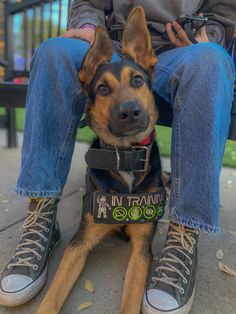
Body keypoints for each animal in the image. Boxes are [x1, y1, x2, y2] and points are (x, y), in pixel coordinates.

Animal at [37, 5, 166, 314]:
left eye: (137, 80)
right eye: (103, 89)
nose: (130, 112)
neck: (126, 157)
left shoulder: (142, 247)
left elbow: (130, 300)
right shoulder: (80, 242)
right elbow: (53, 294)